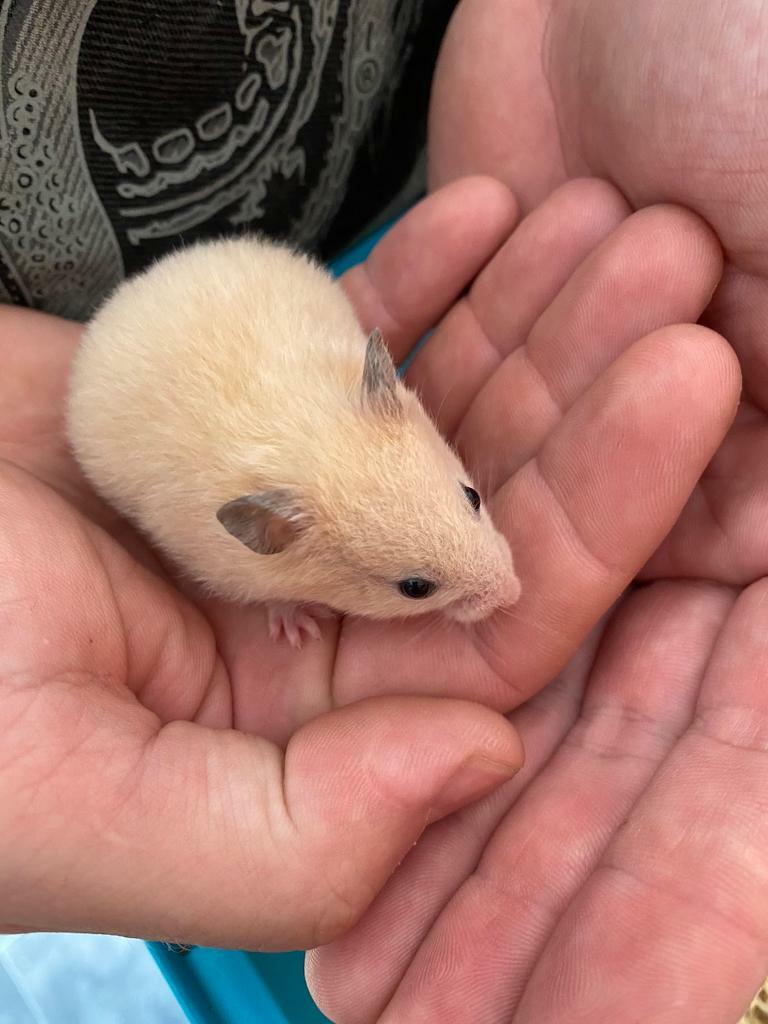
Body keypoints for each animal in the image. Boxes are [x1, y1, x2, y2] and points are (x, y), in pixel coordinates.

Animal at [66, 237, 520, 647]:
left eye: (473, 497)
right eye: (414, 588)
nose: (515, 594)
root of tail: (134, 287)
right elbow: (274, 599)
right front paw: (302, 630)